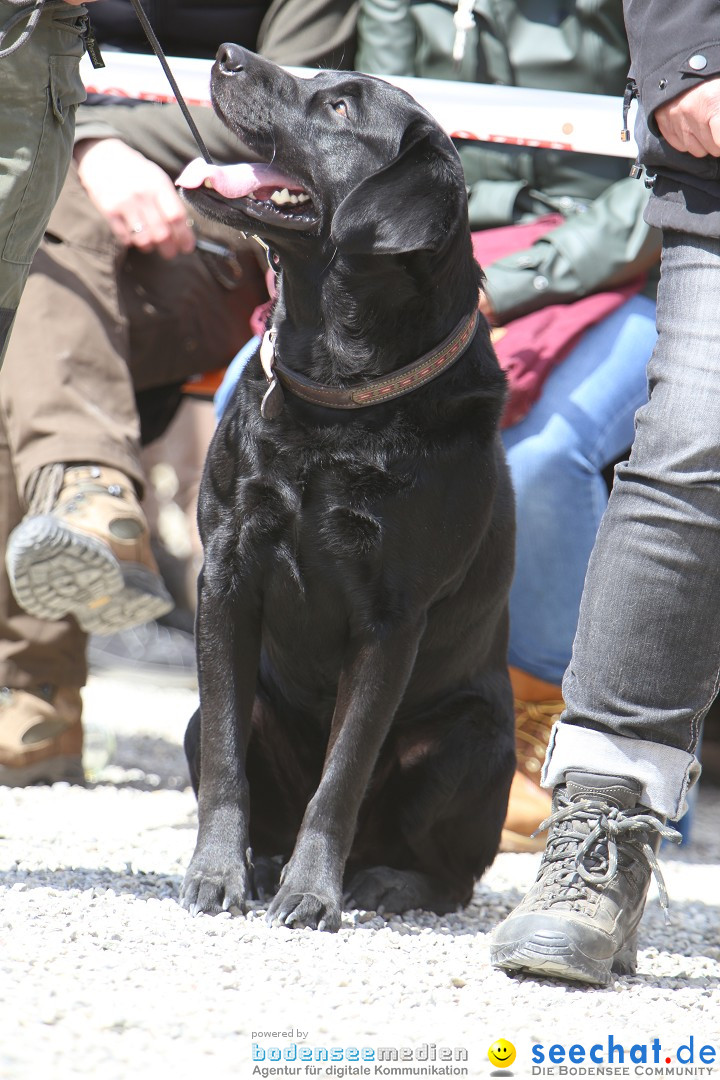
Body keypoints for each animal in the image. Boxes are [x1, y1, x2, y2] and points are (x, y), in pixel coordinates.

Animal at [180, 46, 518, 933]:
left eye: (337, 108)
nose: (225, 56)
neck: (339, 394)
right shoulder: (225, 574)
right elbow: (227, 759)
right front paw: (218, 874)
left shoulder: (392, 618)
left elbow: (344, 772)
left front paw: (311, 892)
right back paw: (264, 863)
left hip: (469, 743)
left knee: (452, 872)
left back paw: (383, 884)